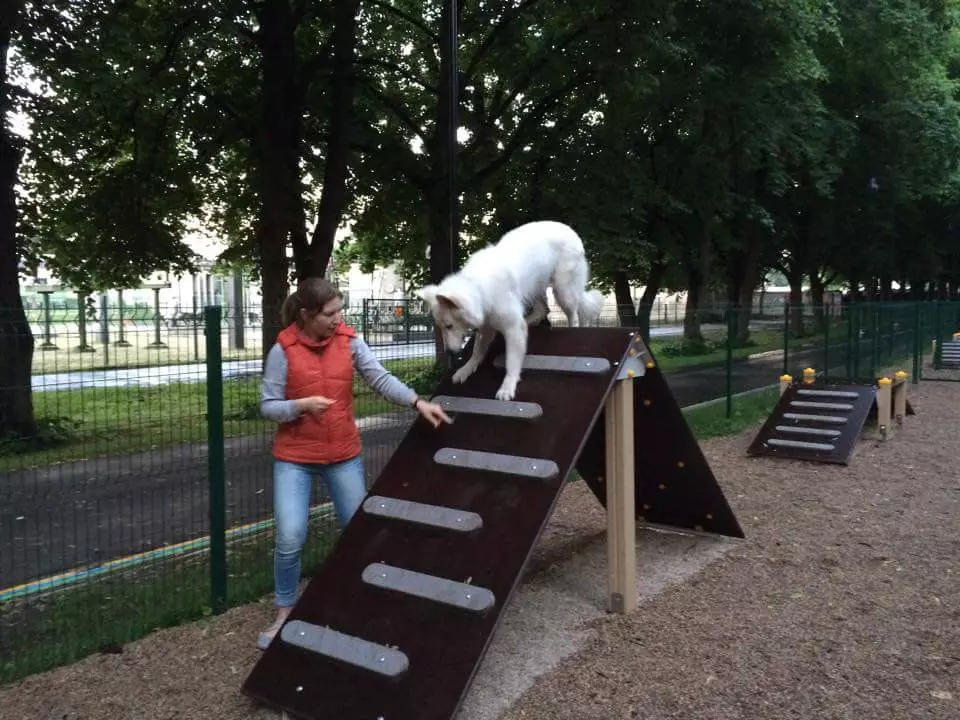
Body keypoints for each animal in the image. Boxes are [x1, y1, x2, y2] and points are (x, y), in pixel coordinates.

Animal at [418, 219, 600, 400]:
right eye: (441, 327)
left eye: (449, 326)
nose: (449, 352)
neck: (478, 288)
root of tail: (571, 231)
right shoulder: (486, 327)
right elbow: (477, 351)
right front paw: (466, 369)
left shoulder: (512, 329)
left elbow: (511, 361)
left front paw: (507, 387)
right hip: (535, 288)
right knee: (543, 310)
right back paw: (529, 321)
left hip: (563, 291)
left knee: (573, 314)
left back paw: (571, 327)